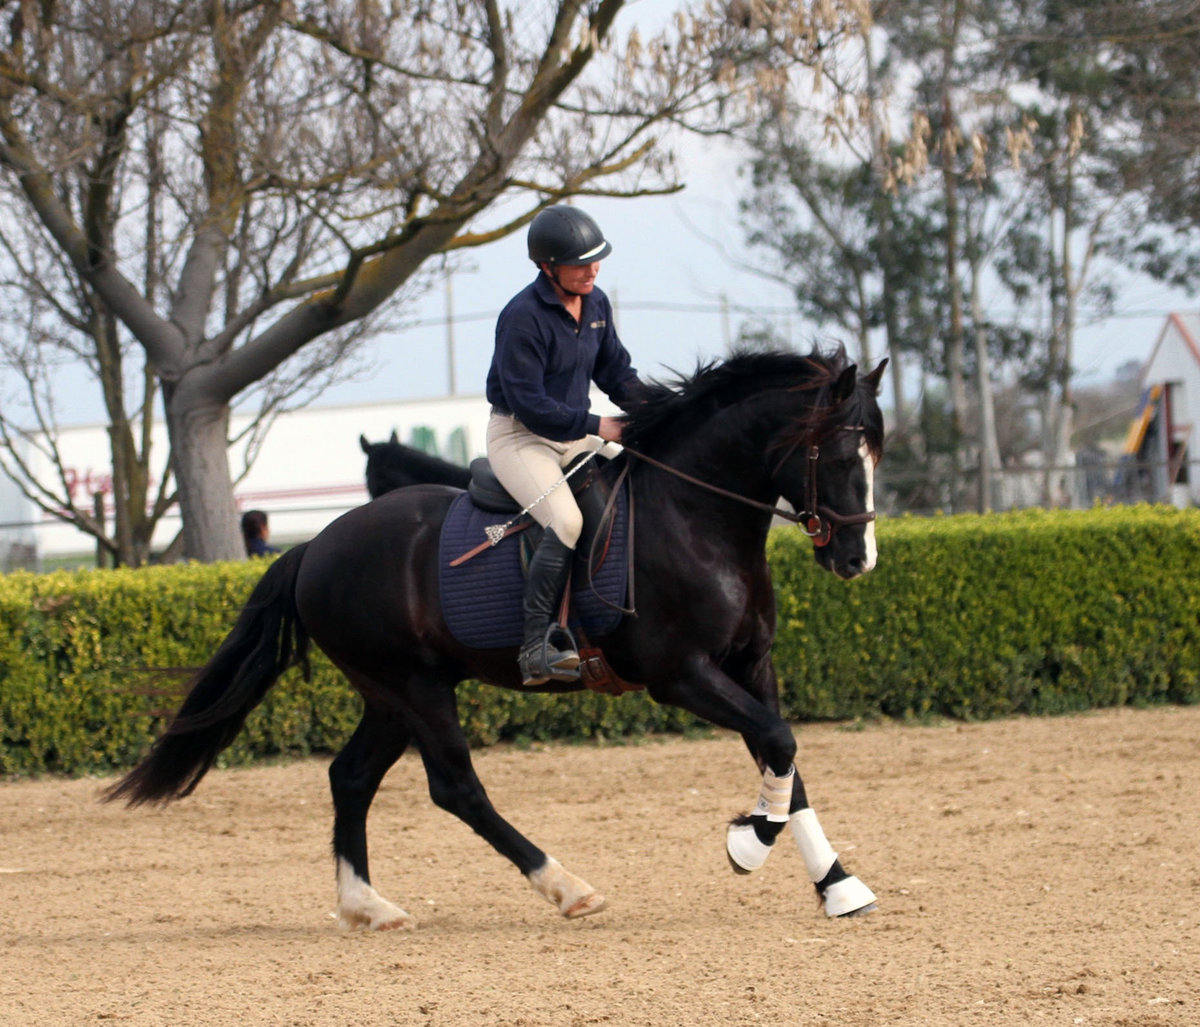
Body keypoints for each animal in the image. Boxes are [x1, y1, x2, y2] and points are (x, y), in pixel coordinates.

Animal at [108, 347, 888, 926]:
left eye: (876, 457)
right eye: (839, 458)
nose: (858, 560)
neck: (694, 515)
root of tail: (316, 547)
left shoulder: (750, 664)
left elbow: (784, 755)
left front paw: (836, 883)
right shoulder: (683, 675)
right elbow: (778, 741)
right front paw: (748, 842)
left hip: (393, 695)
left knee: (350, 777)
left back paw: (368, 904)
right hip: (415, 690)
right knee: (457, 788)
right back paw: (565, 885)